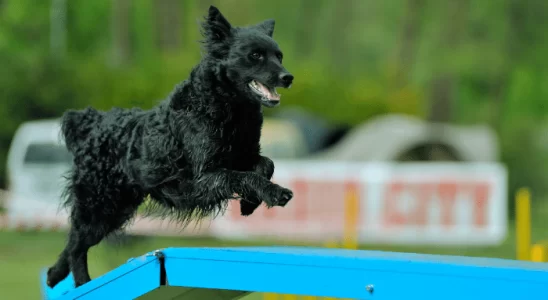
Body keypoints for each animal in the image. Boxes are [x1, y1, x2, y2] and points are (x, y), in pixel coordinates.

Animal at [47, 5, 296, 288]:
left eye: (279, 56)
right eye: (255, 55)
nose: (288, 77)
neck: (227, 106)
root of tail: (93, 122)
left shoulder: (242, 156)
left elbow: (265, 164)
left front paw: (249, 204)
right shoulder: (204, 177)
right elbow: (244, 177)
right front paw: (274, 193)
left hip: (115, 209)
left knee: (73, 242)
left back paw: (54, 275)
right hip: (99, 204)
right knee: (77, 245)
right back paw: (82, 284)